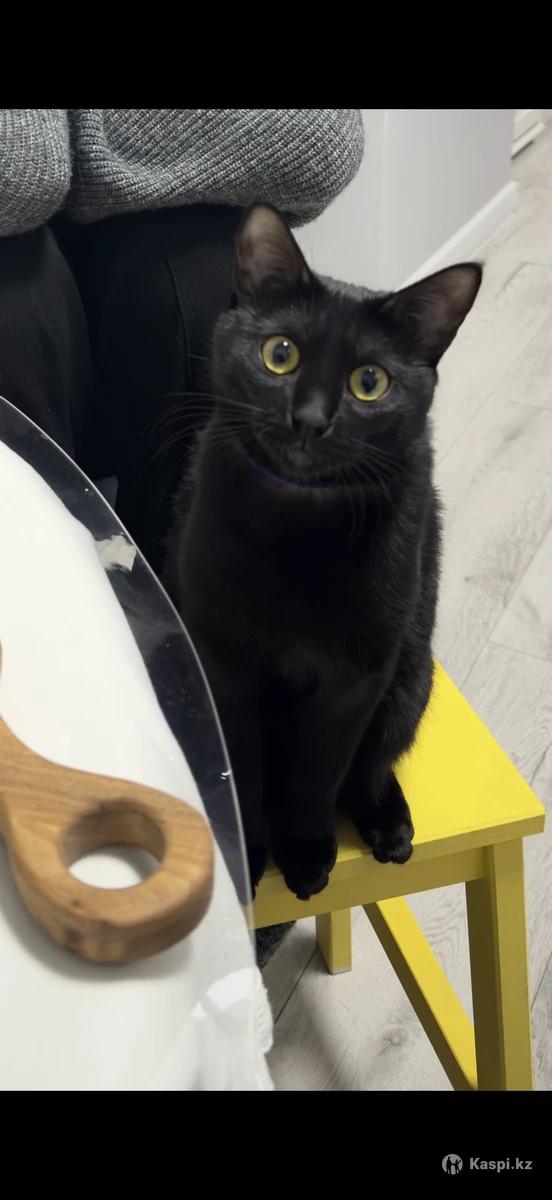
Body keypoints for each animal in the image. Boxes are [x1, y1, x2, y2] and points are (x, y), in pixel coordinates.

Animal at [163, 203, 481, 902]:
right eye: (280, 354)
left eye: (370, 382)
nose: (308, 419)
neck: (298, 532)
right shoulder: (223, 660)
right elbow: (242, 766)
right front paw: (254, 853)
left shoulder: (355, 676)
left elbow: (319, 774)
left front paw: (307, 854)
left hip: (409, 681)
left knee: (371, 767)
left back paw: (388, 824)